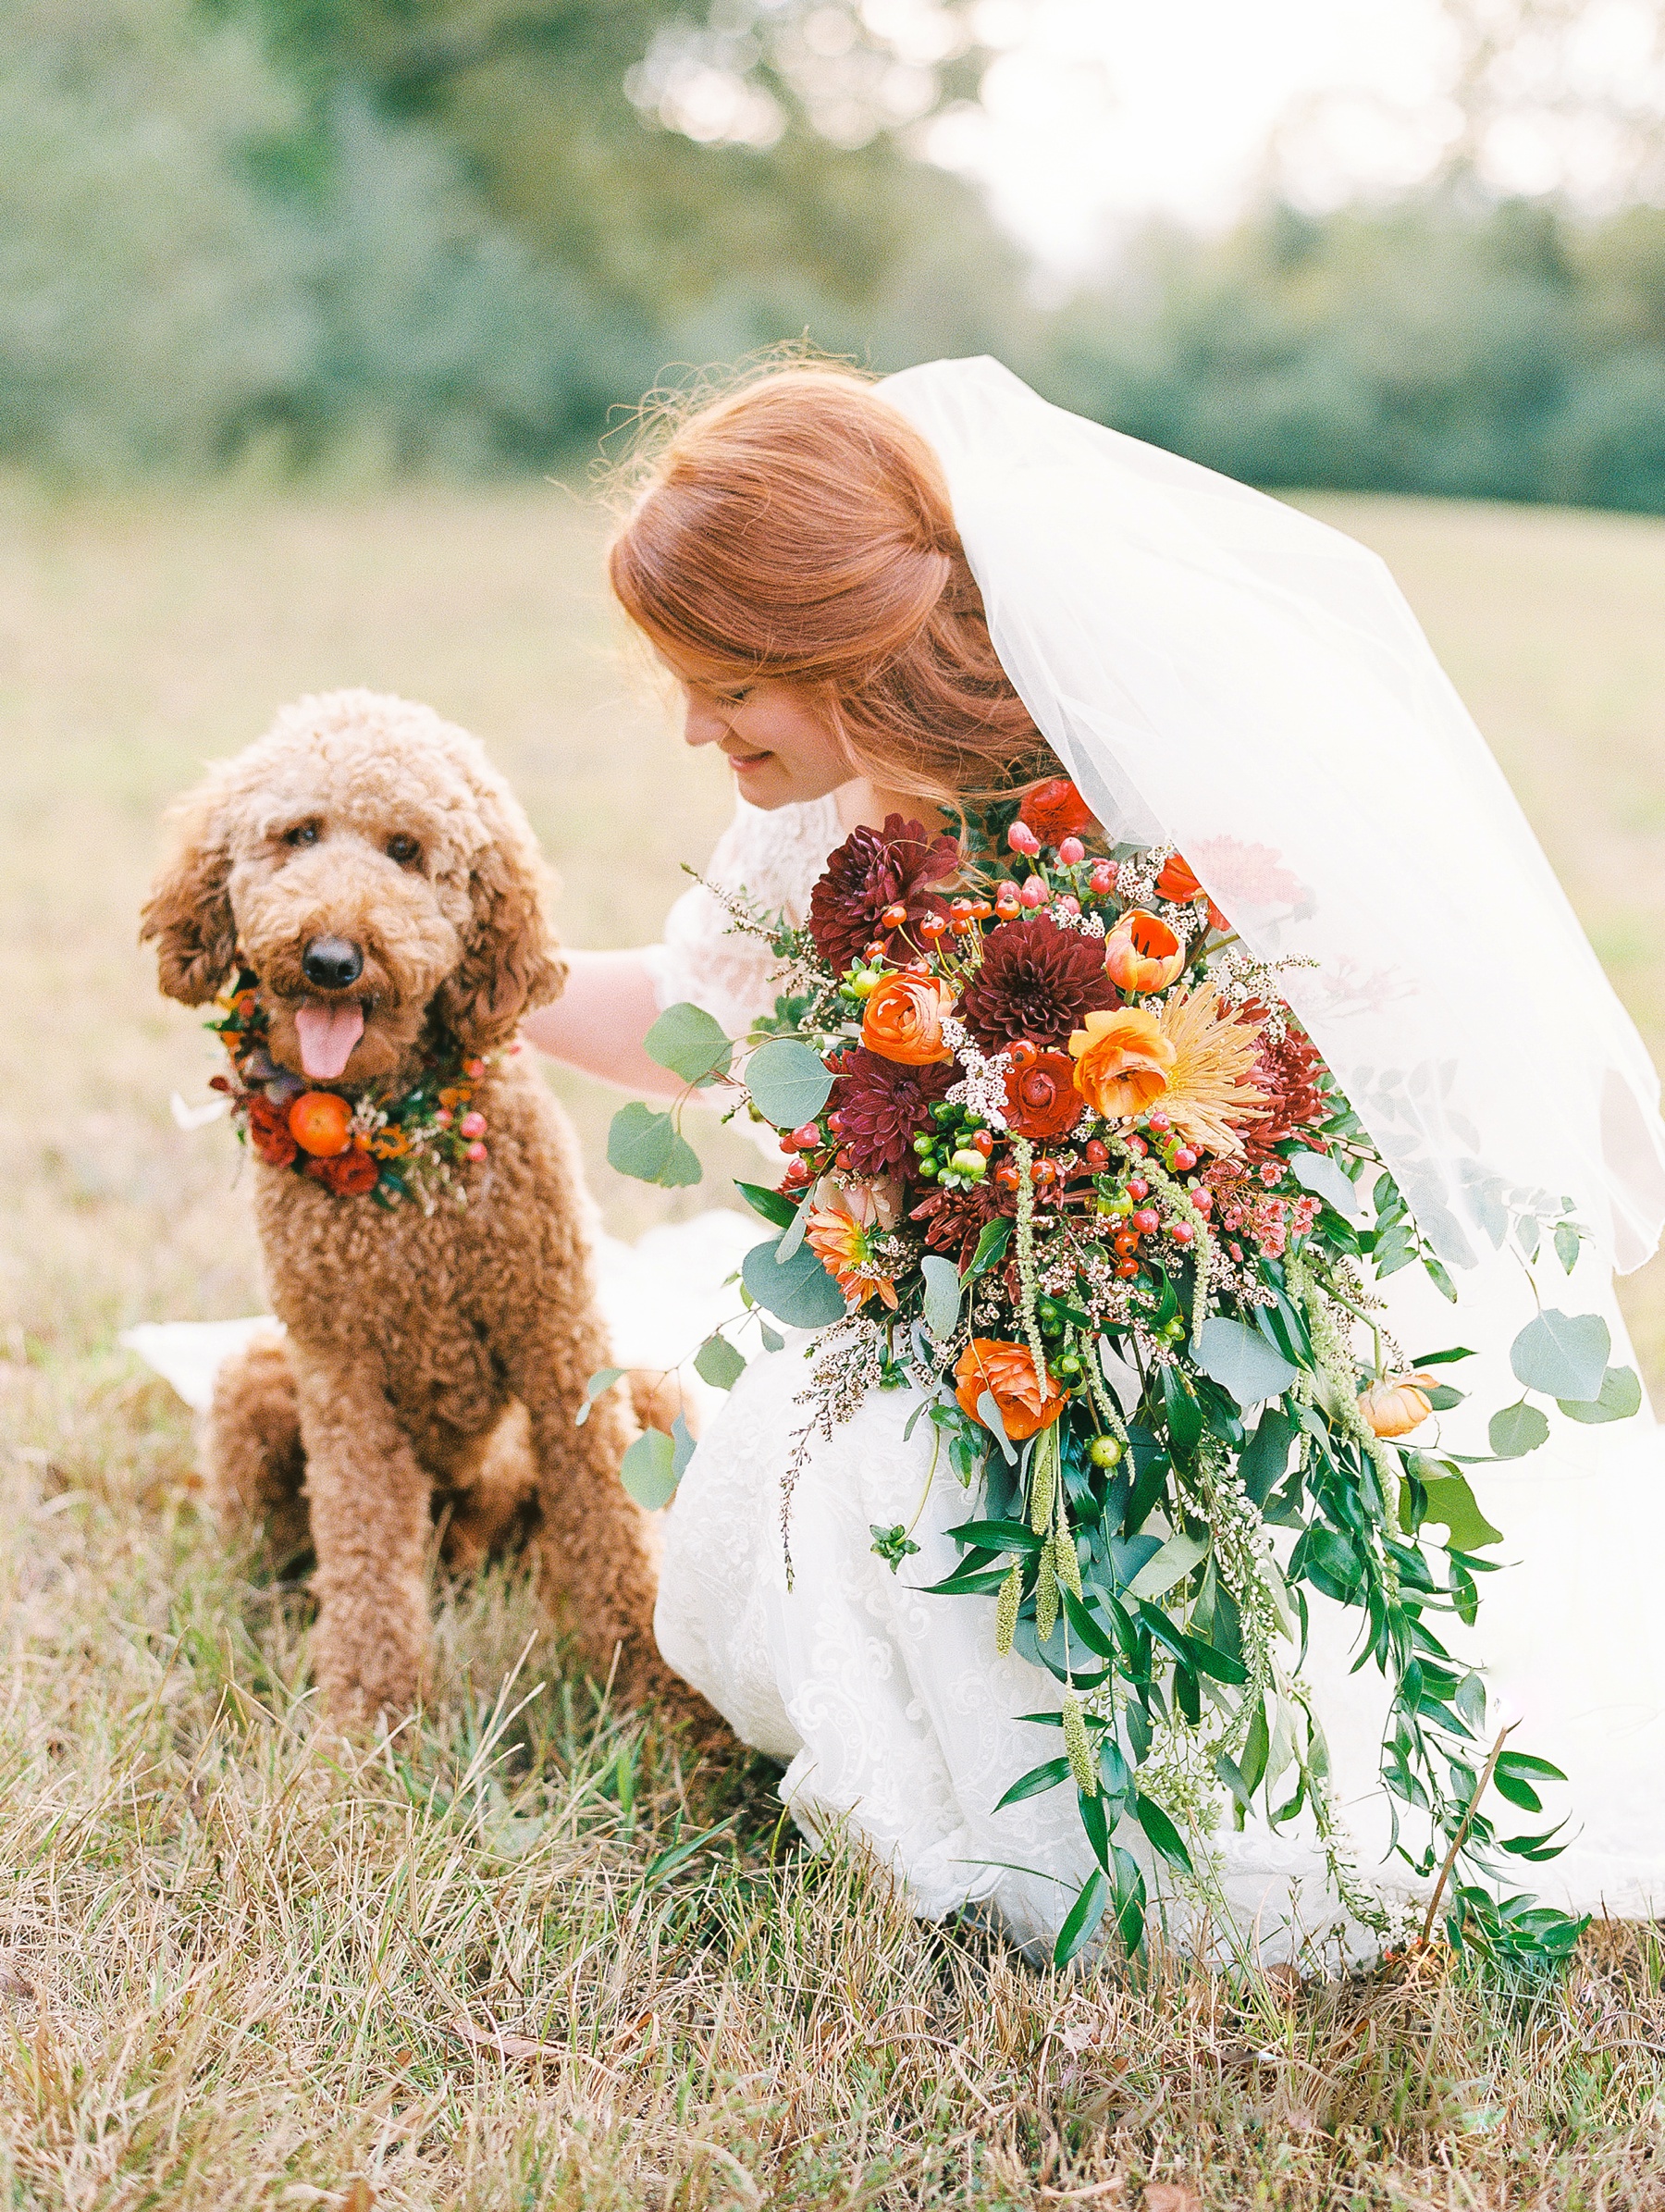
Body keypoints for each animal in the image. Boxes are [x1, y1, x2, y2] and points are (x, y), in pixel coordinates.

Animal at [141, 689, 703, 1724]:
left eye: (406, 850)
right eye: (298, 834)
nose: (332, 957)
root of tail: (463, 1544)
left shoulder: (558, 1335)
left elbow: (607, 1518)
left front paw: (659, 1695)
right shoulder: (343, 1373)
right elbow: (363, 1553)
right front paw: (365, 1720)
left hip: (644, 1389)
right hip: (254, 1381)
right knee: (282, 1547)